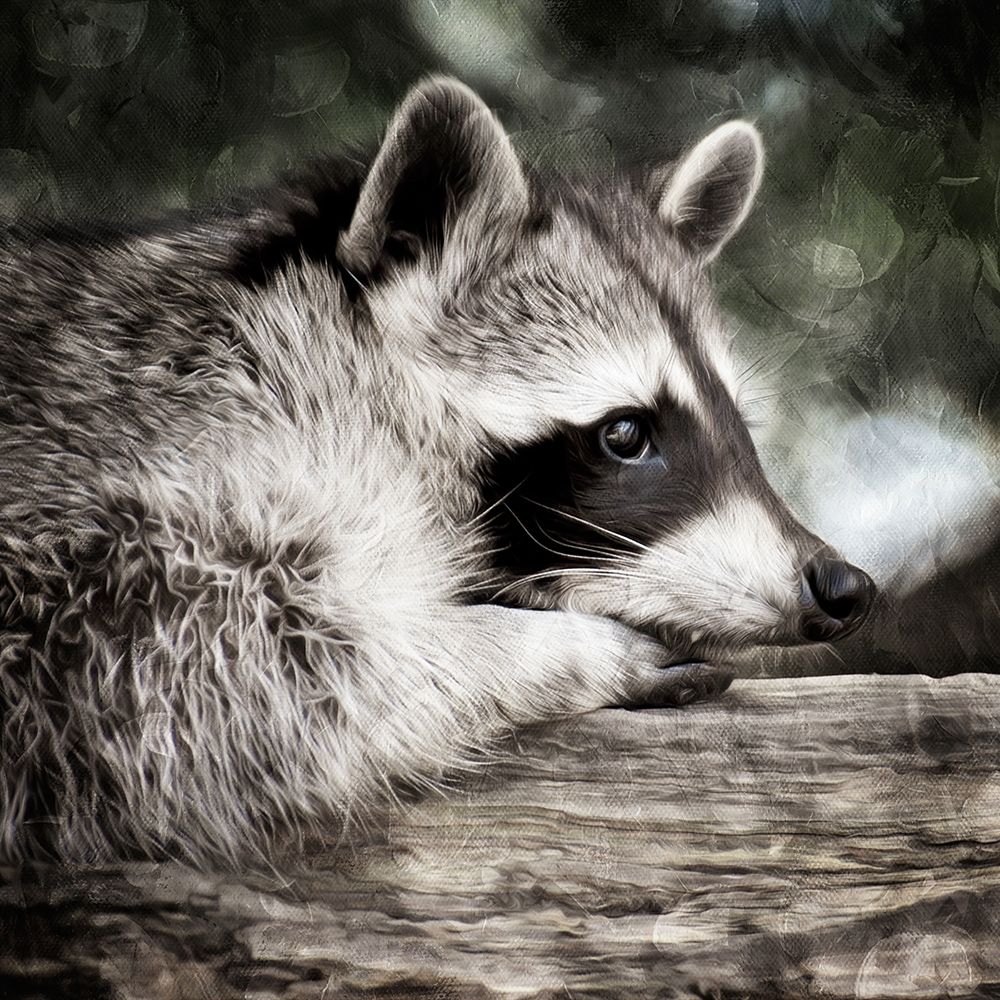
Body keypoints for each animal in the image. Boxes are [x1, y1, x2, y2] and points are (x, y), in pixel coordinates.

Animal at [0, 77, 873, 865]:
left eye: (738, 426)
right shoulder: (126, 475)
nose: (843, 586)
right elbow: (215, 655)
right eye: (626, 433)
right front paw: (532, 648)